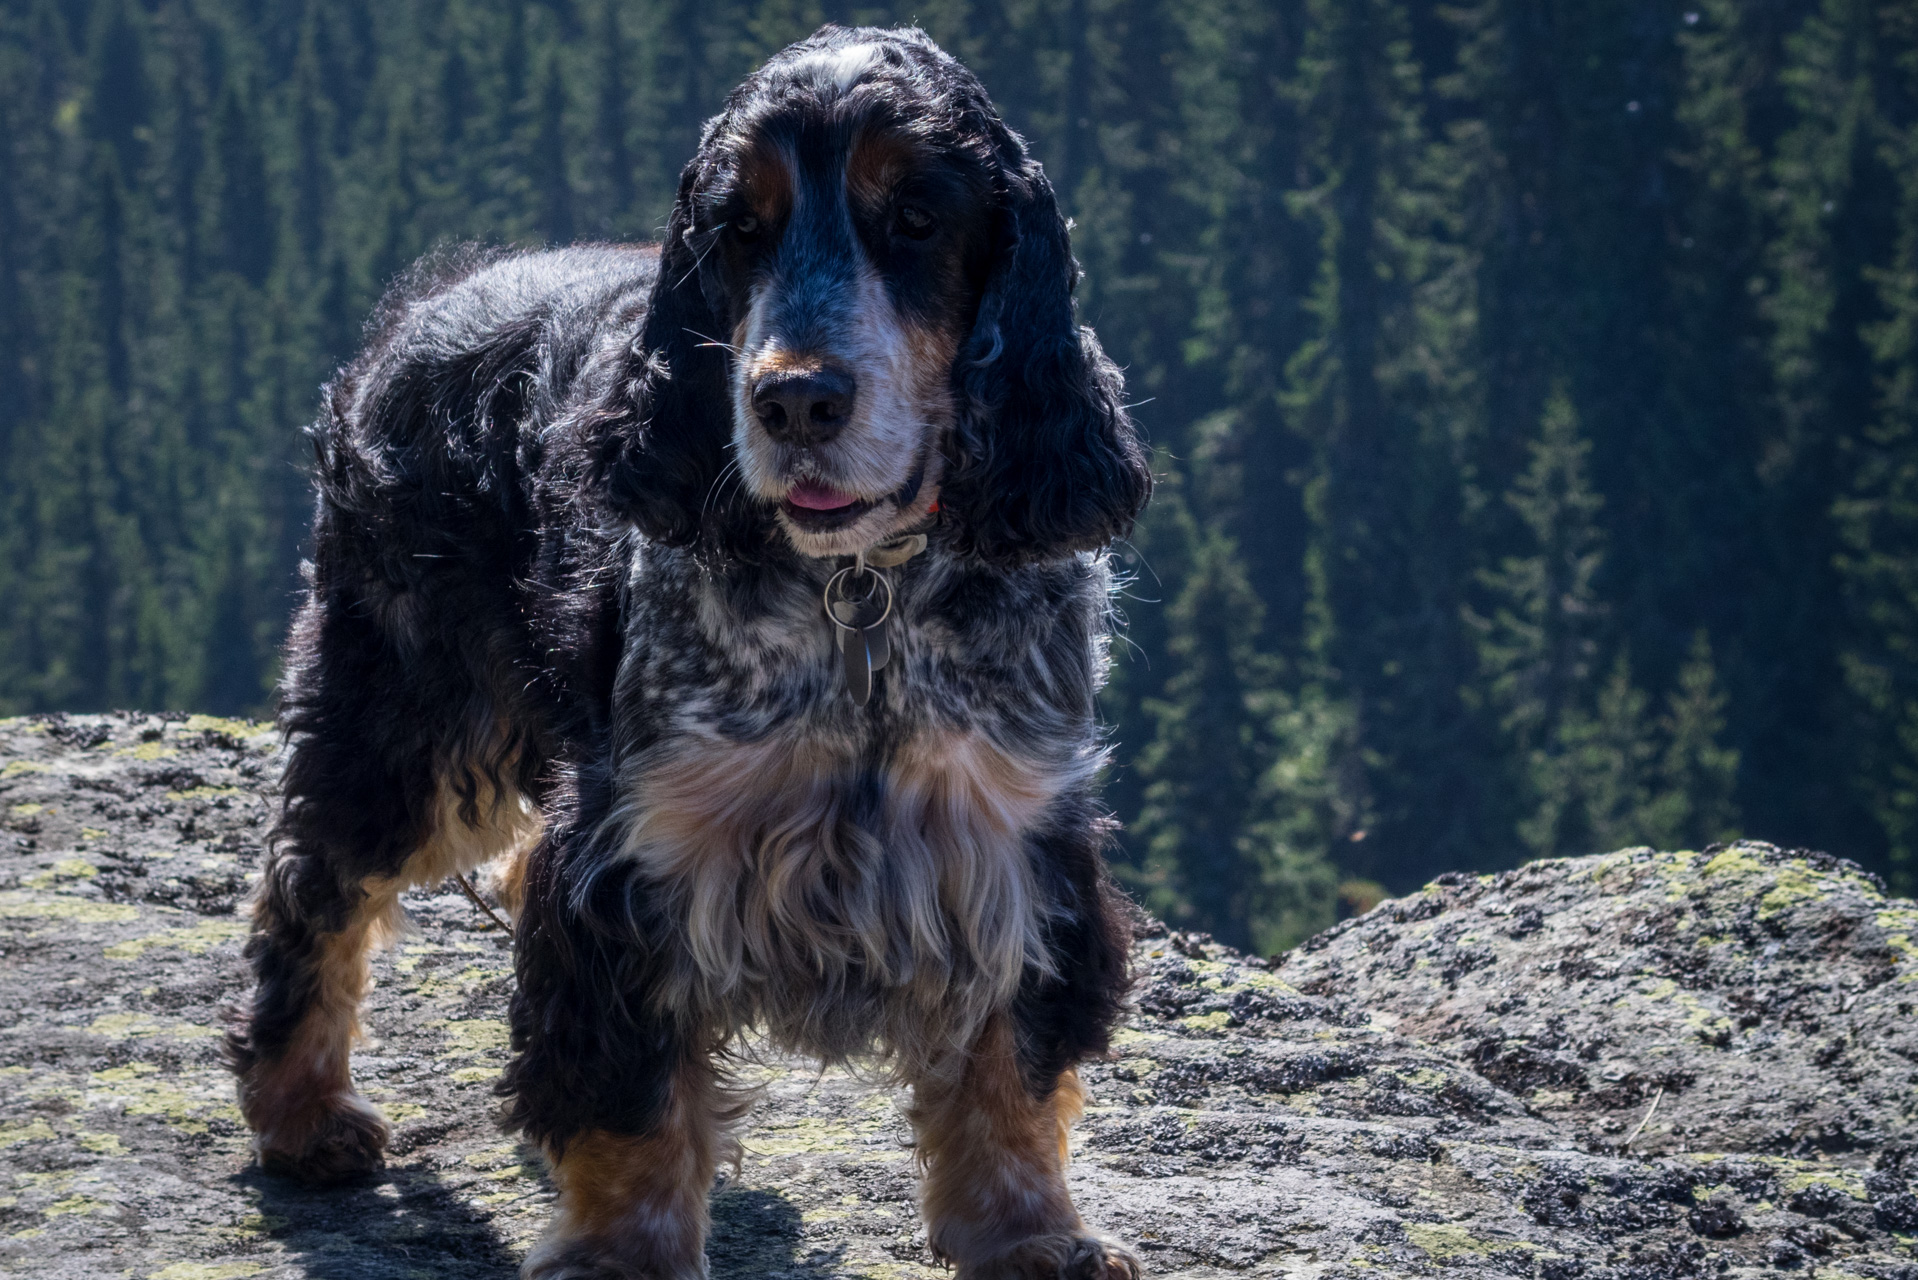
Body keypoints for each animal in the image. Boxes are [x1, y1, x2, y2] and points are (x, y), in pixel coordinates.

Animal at [224, 25, 1150, 1280]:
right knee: (315, 883)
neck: (859, 593)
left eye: (916, 215)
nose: (796, 399)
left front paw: (1032, 1230)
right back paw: (301, 1111)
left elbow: (1014, 1060)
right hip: (408, 708)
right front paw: (622, 1246)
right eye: (737, 226)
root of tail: (421, 304)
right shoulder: (638, 852)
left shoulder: (1015, 840)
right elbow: (630, 1082)